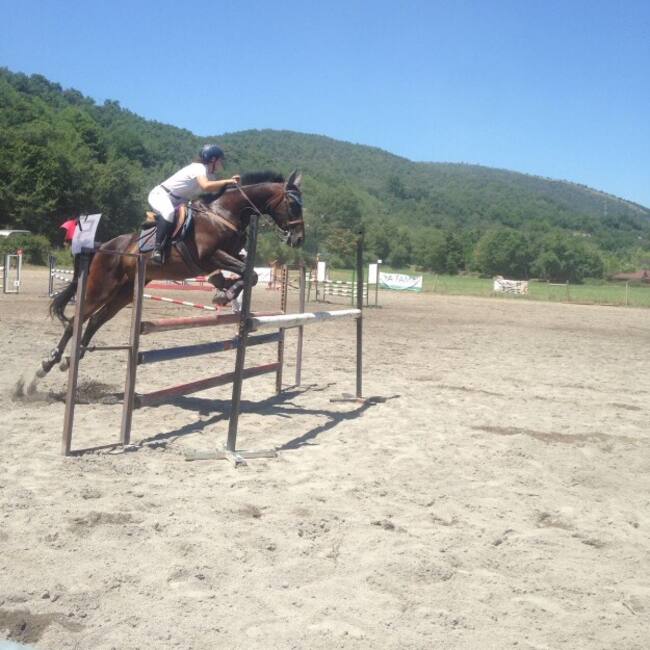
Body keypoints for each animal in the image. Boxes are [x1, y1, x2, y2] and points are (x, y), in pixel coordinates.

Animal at [38, 170, 304, 377]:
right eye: (293, 205)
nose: (299, 239)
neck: (224, 213)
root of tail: (103, 245)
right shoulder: (209, 256)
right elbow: (247, 273)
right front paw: (223, 293)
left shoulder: (229, 255)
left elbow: (249, 272)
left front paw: (223, 290)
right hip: (100, 286)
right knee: (77, 320)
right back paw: (49, 362)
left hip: (125, 292)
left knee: (95, 320)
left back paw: (71, 359)